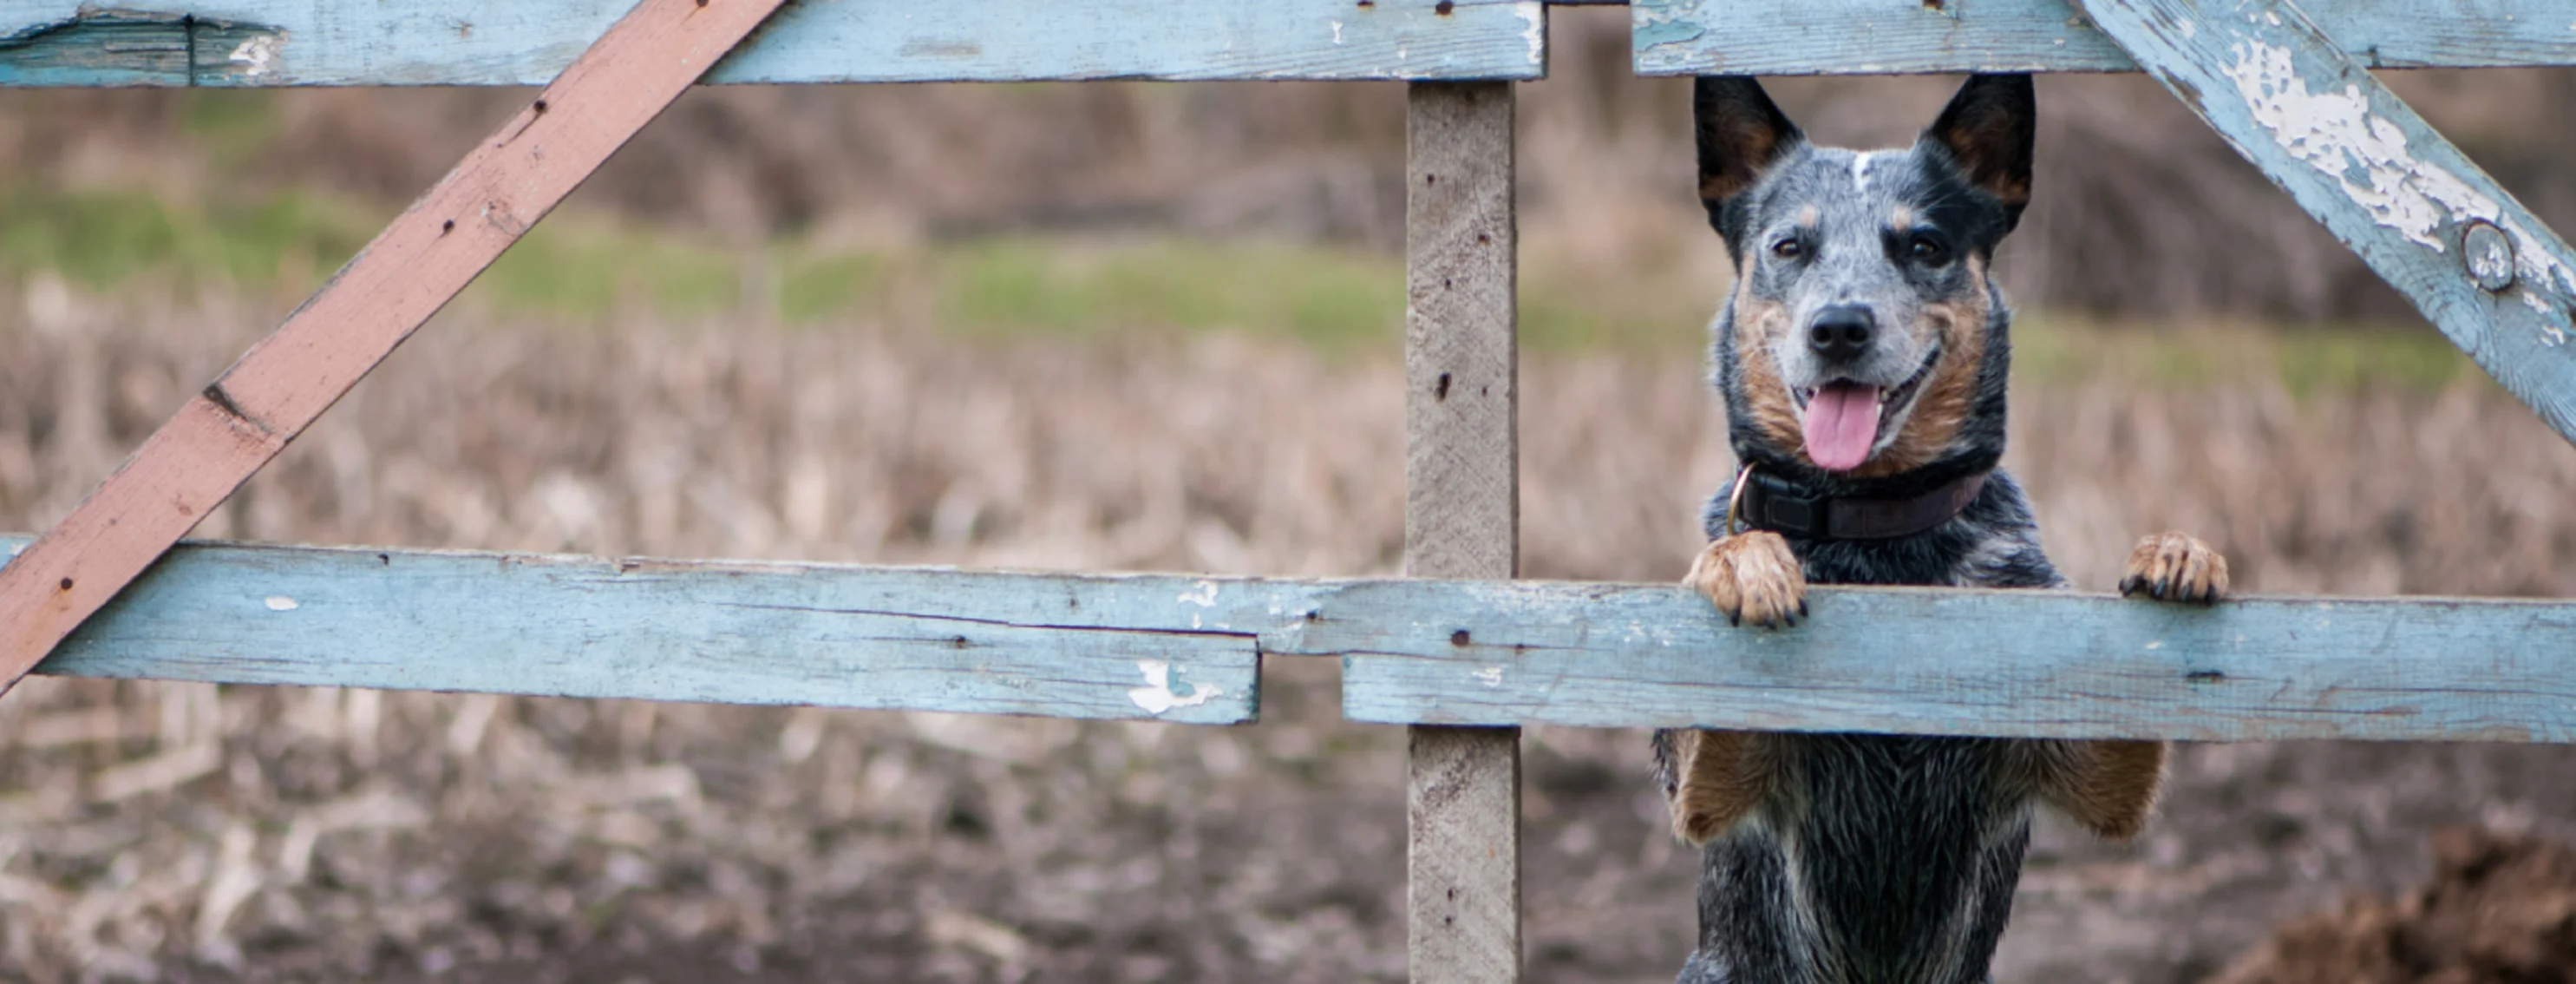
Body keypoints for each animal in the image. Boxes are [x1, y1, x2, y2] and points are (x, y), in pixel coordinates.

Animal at [1648, 76, 2235, 984]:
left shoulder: (2077, 765)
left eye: (1922, 246)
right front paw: (1746, 560)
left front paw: (2177, 550)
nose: (1840, 327)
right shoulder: (1713, 792)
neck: (1879, 534)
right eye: (1790, 246)